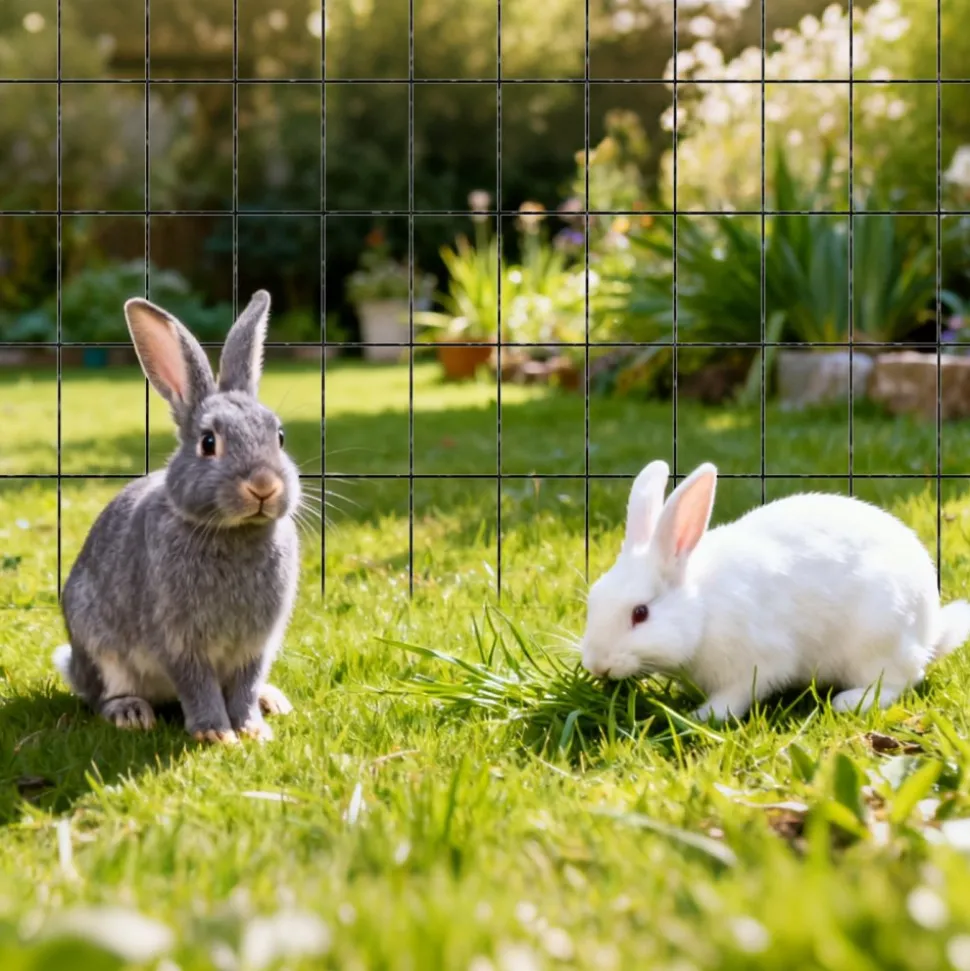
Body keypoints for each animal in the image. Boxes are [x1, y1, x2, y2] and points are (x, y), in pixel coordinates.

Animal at [54, 291, 301, 744]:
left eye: (279, 437)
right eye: (208, 442)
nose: (263, 485)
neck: (231, 531)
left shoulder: (256, 645)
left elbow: (245, 684)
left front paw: (252, 729)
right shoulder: (178, 641)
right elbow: (197, 683)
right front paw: (217, 734)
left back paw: (271, 700)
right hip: (98, 648)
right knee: (102, 695)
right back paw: (130, 712)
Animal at [581, 459, 970, 722]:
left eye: (640, 613)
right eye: (594, 599)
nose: (597, 665)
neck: (703, 609)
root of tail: (929, 633)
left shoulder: (759, 662)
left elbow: (739, 694)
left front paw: (703, 715)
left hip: (877, 640)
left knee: (901, 680)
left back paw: (848, 701)